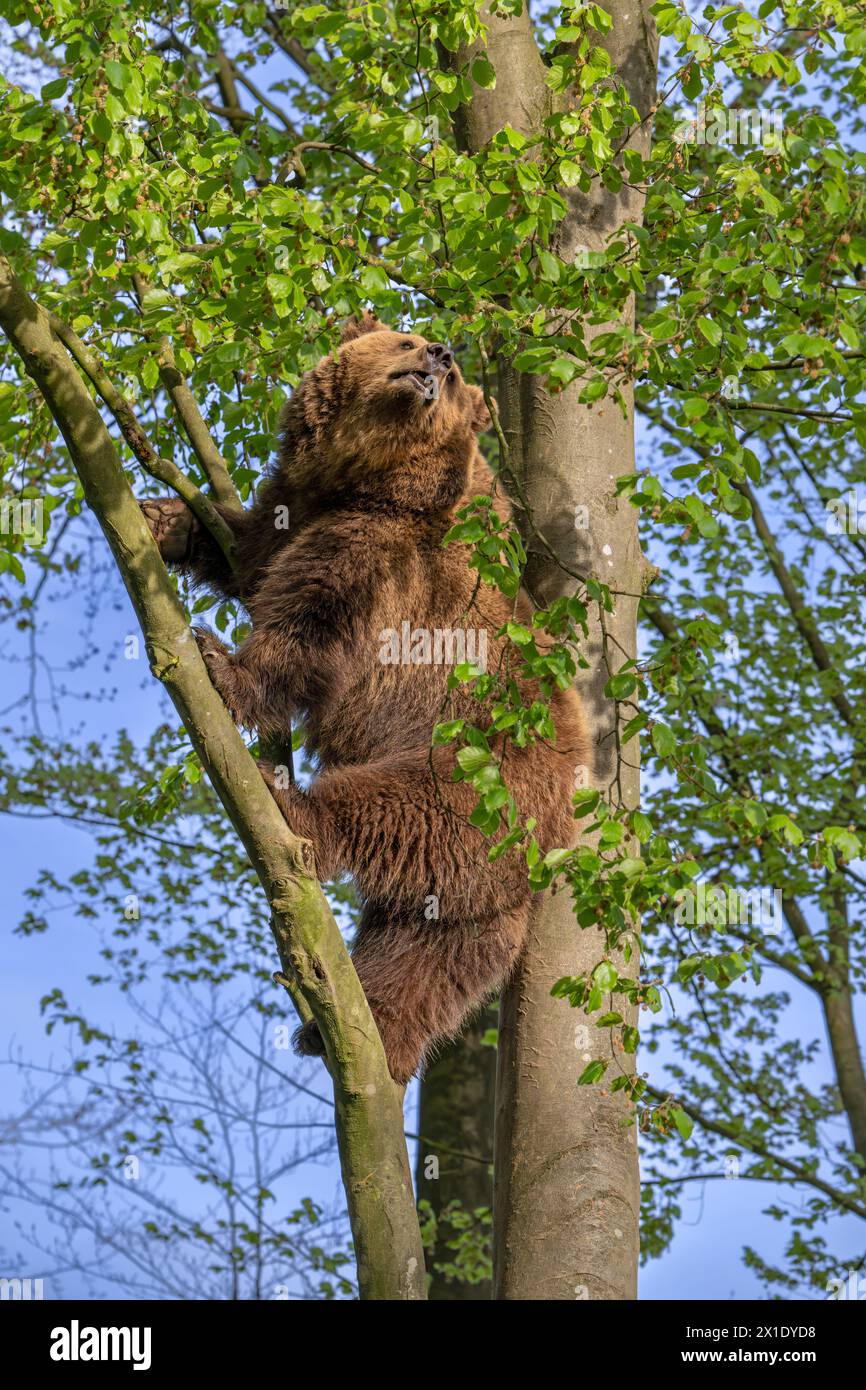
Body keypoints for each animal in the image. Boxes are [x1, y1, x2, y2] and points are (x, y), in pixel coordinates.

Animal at [141, 315, 586, 1084]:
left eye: (455, 374)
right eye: (408, 339)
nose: (439, 356)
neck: (369, 478)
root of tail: (560, 828)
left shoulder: (389, 556)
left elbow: (310, 622)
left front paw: (224, 666)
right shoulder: (299, 509)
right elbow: (251, 556)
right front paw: (164, 517)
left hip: (480, 769)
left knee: (397, 810)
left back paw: (297, 813)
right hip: (480, 877)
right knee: (432, 948)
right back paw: (363, 1031)